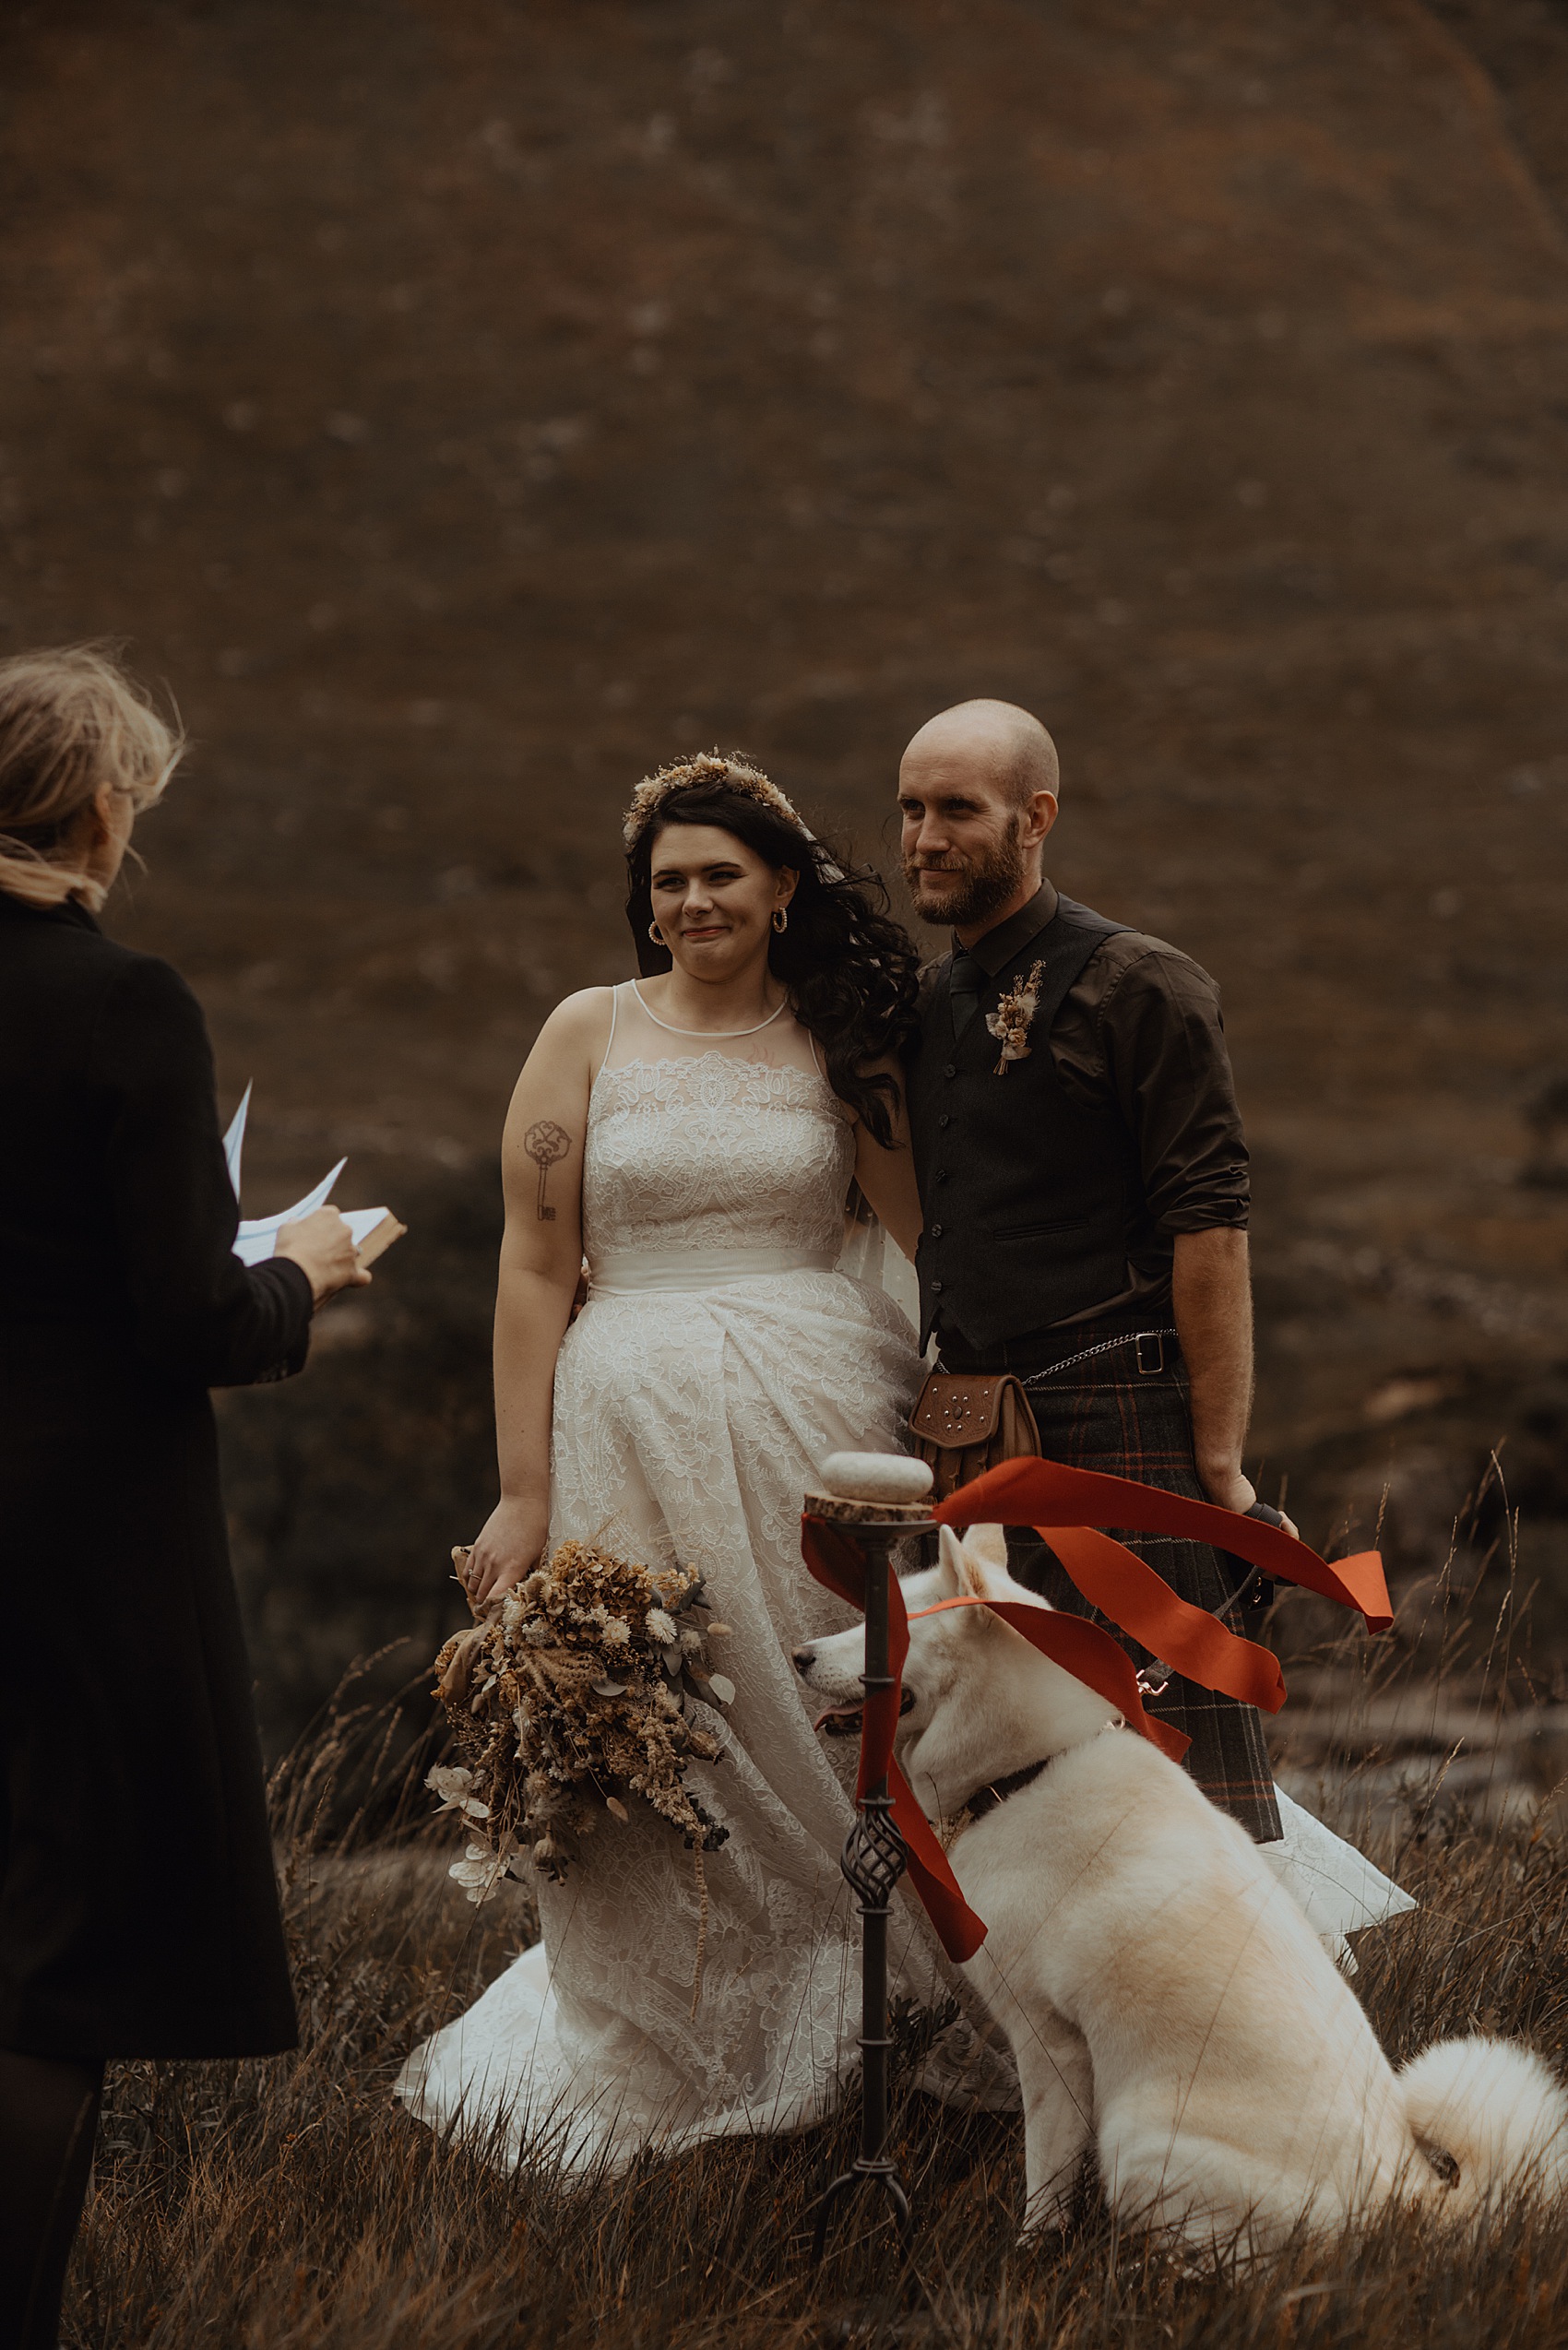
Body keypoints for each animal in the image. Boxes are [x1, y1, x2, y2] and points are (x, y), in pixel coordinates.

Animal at [799, 1523, 1568, 2256]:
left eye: (891, 1624)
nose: (801, 1655)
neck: (1028, 1771)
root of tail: (1413, 2199)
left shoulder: (1049, 2044)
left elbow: (1045, 2177)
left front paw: (1029, 2252)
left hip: (1135, 2140)